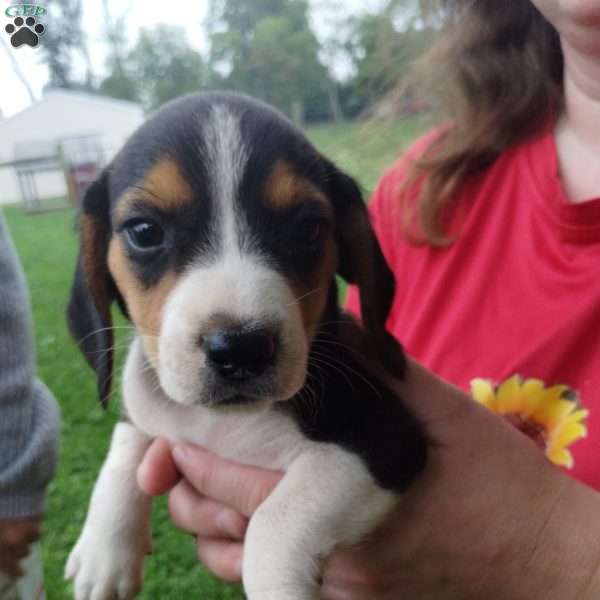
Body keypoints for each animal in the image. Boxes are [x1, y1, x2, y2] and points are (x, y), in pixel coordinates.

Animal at [65, 90, 426, 600]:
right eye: (144, 231)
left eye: (308, 228)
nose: (240, 349)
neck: (221, 423)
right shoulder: (150, 402)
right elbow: (127, 437)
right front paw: (105, 552)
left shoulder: (384, 439)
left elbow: (274, 524)